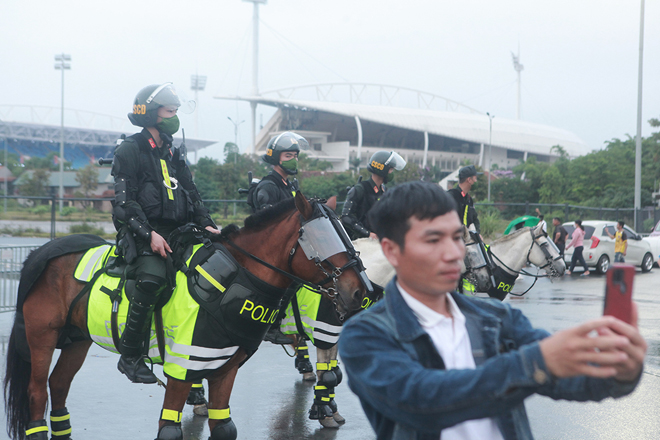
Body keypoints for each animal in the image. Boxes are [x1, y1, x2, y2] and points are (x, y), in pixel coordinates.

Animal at [2, 194, 368, 440]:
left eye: (345, 233)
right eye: (321, 239)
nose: (360, 291)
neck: (231, 279)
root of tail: (41, 252)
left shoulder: (225, 370)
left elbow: (224, 426)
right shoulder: (181, 368)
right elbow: (170, 428)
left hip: (77, 340)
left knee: (58, 385)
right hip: (41, 338)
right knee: (38, 392)